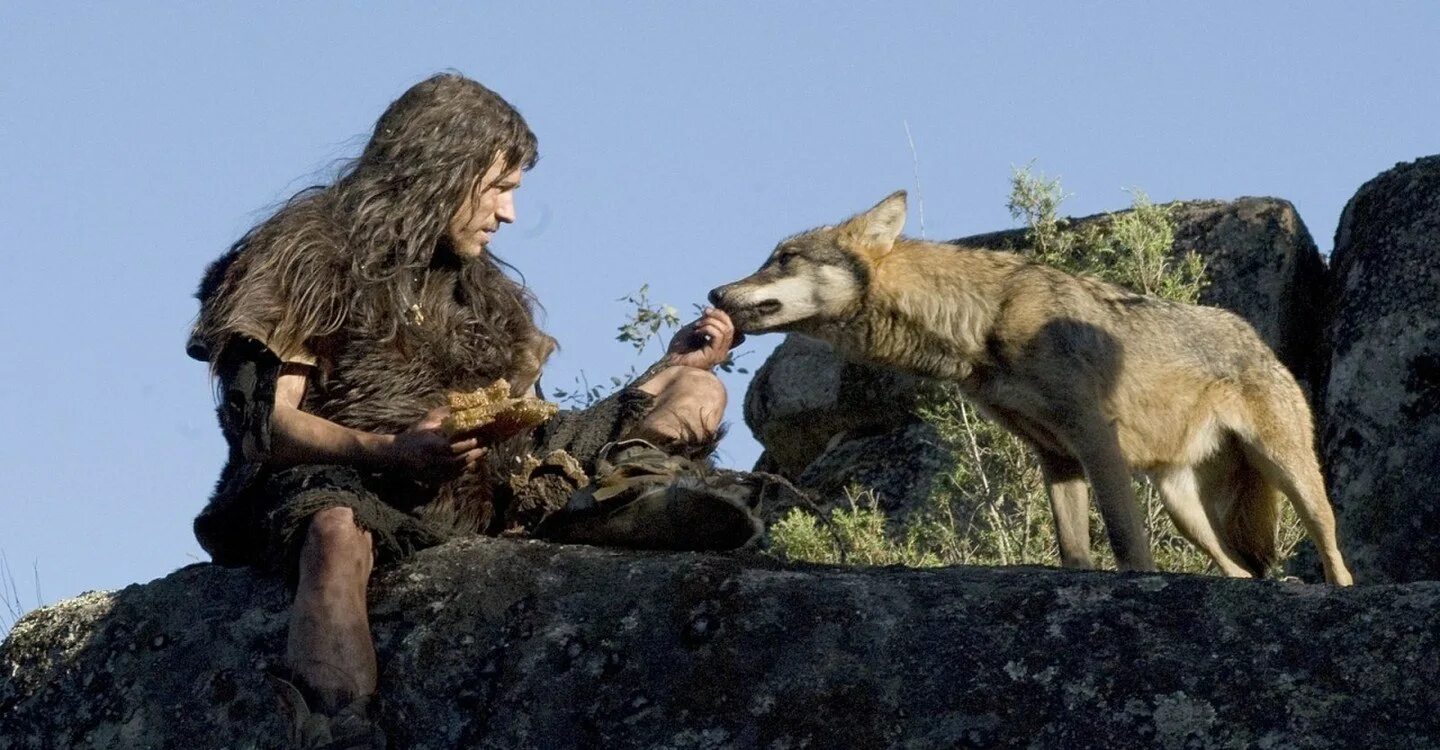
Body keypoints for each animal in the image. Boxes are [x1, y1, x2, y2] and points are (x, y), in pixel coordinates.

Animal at [714, 188, 1353, 584]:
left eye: (784, 258)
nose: (715, 294)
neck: (983, 321)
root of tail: (1255, 339)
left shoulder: (1096, 438)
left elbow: (1126, 542)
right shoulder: (1056, 456)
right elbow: (1076, 553)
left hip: (1291, 475)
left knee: (1335, 555)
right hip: (1187, 511)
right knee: (1241, 570)